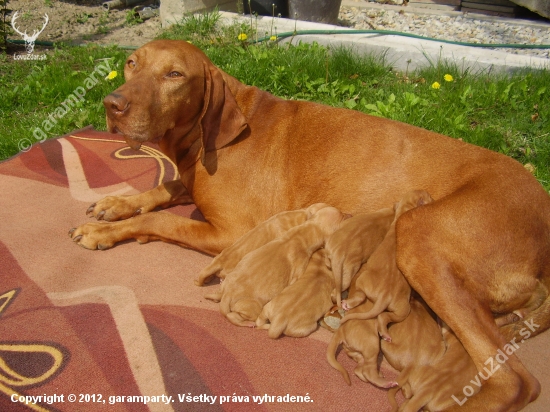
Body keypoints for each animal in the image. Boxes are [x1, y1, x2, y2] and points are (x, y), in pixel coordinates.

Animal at [205, 208, 348, 326]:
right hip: (252, 308)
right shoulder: (299, 269)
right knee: (234, 317)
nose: (350, 214)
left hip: (225, 285)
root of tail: (227, 295)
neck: (303, 233)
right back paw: (249, 324)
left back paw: (211, 297)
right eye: (343, 216)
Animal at [340, 190, 436, 342]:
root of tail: (384, 297)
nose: (434, 198)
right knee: (379, 312)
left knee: (378, 312)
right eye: (429, 196)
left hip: (395, 304)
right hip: (401, 306)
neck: (404, 210)